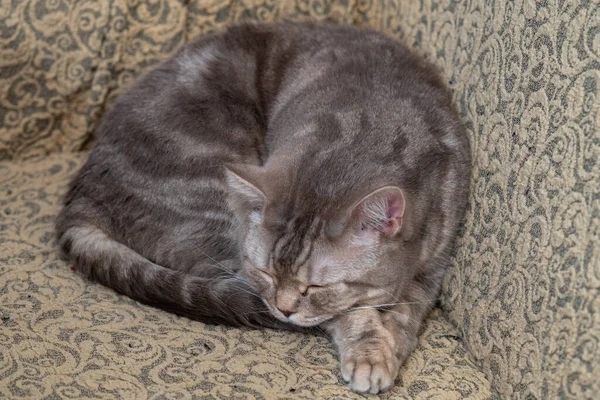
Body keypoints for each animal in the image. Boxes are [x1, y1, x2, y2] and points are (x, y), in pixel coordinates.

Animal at [55, 22, 468, 394]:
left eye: (315, 286)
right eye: (267, 272)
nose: (284, 309)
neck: (376, 127)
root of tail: (83, 191)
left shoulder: (433, 267)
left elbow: (404, 315)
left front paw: (390, 344)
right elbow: (351, 314)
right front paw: (369, 352)